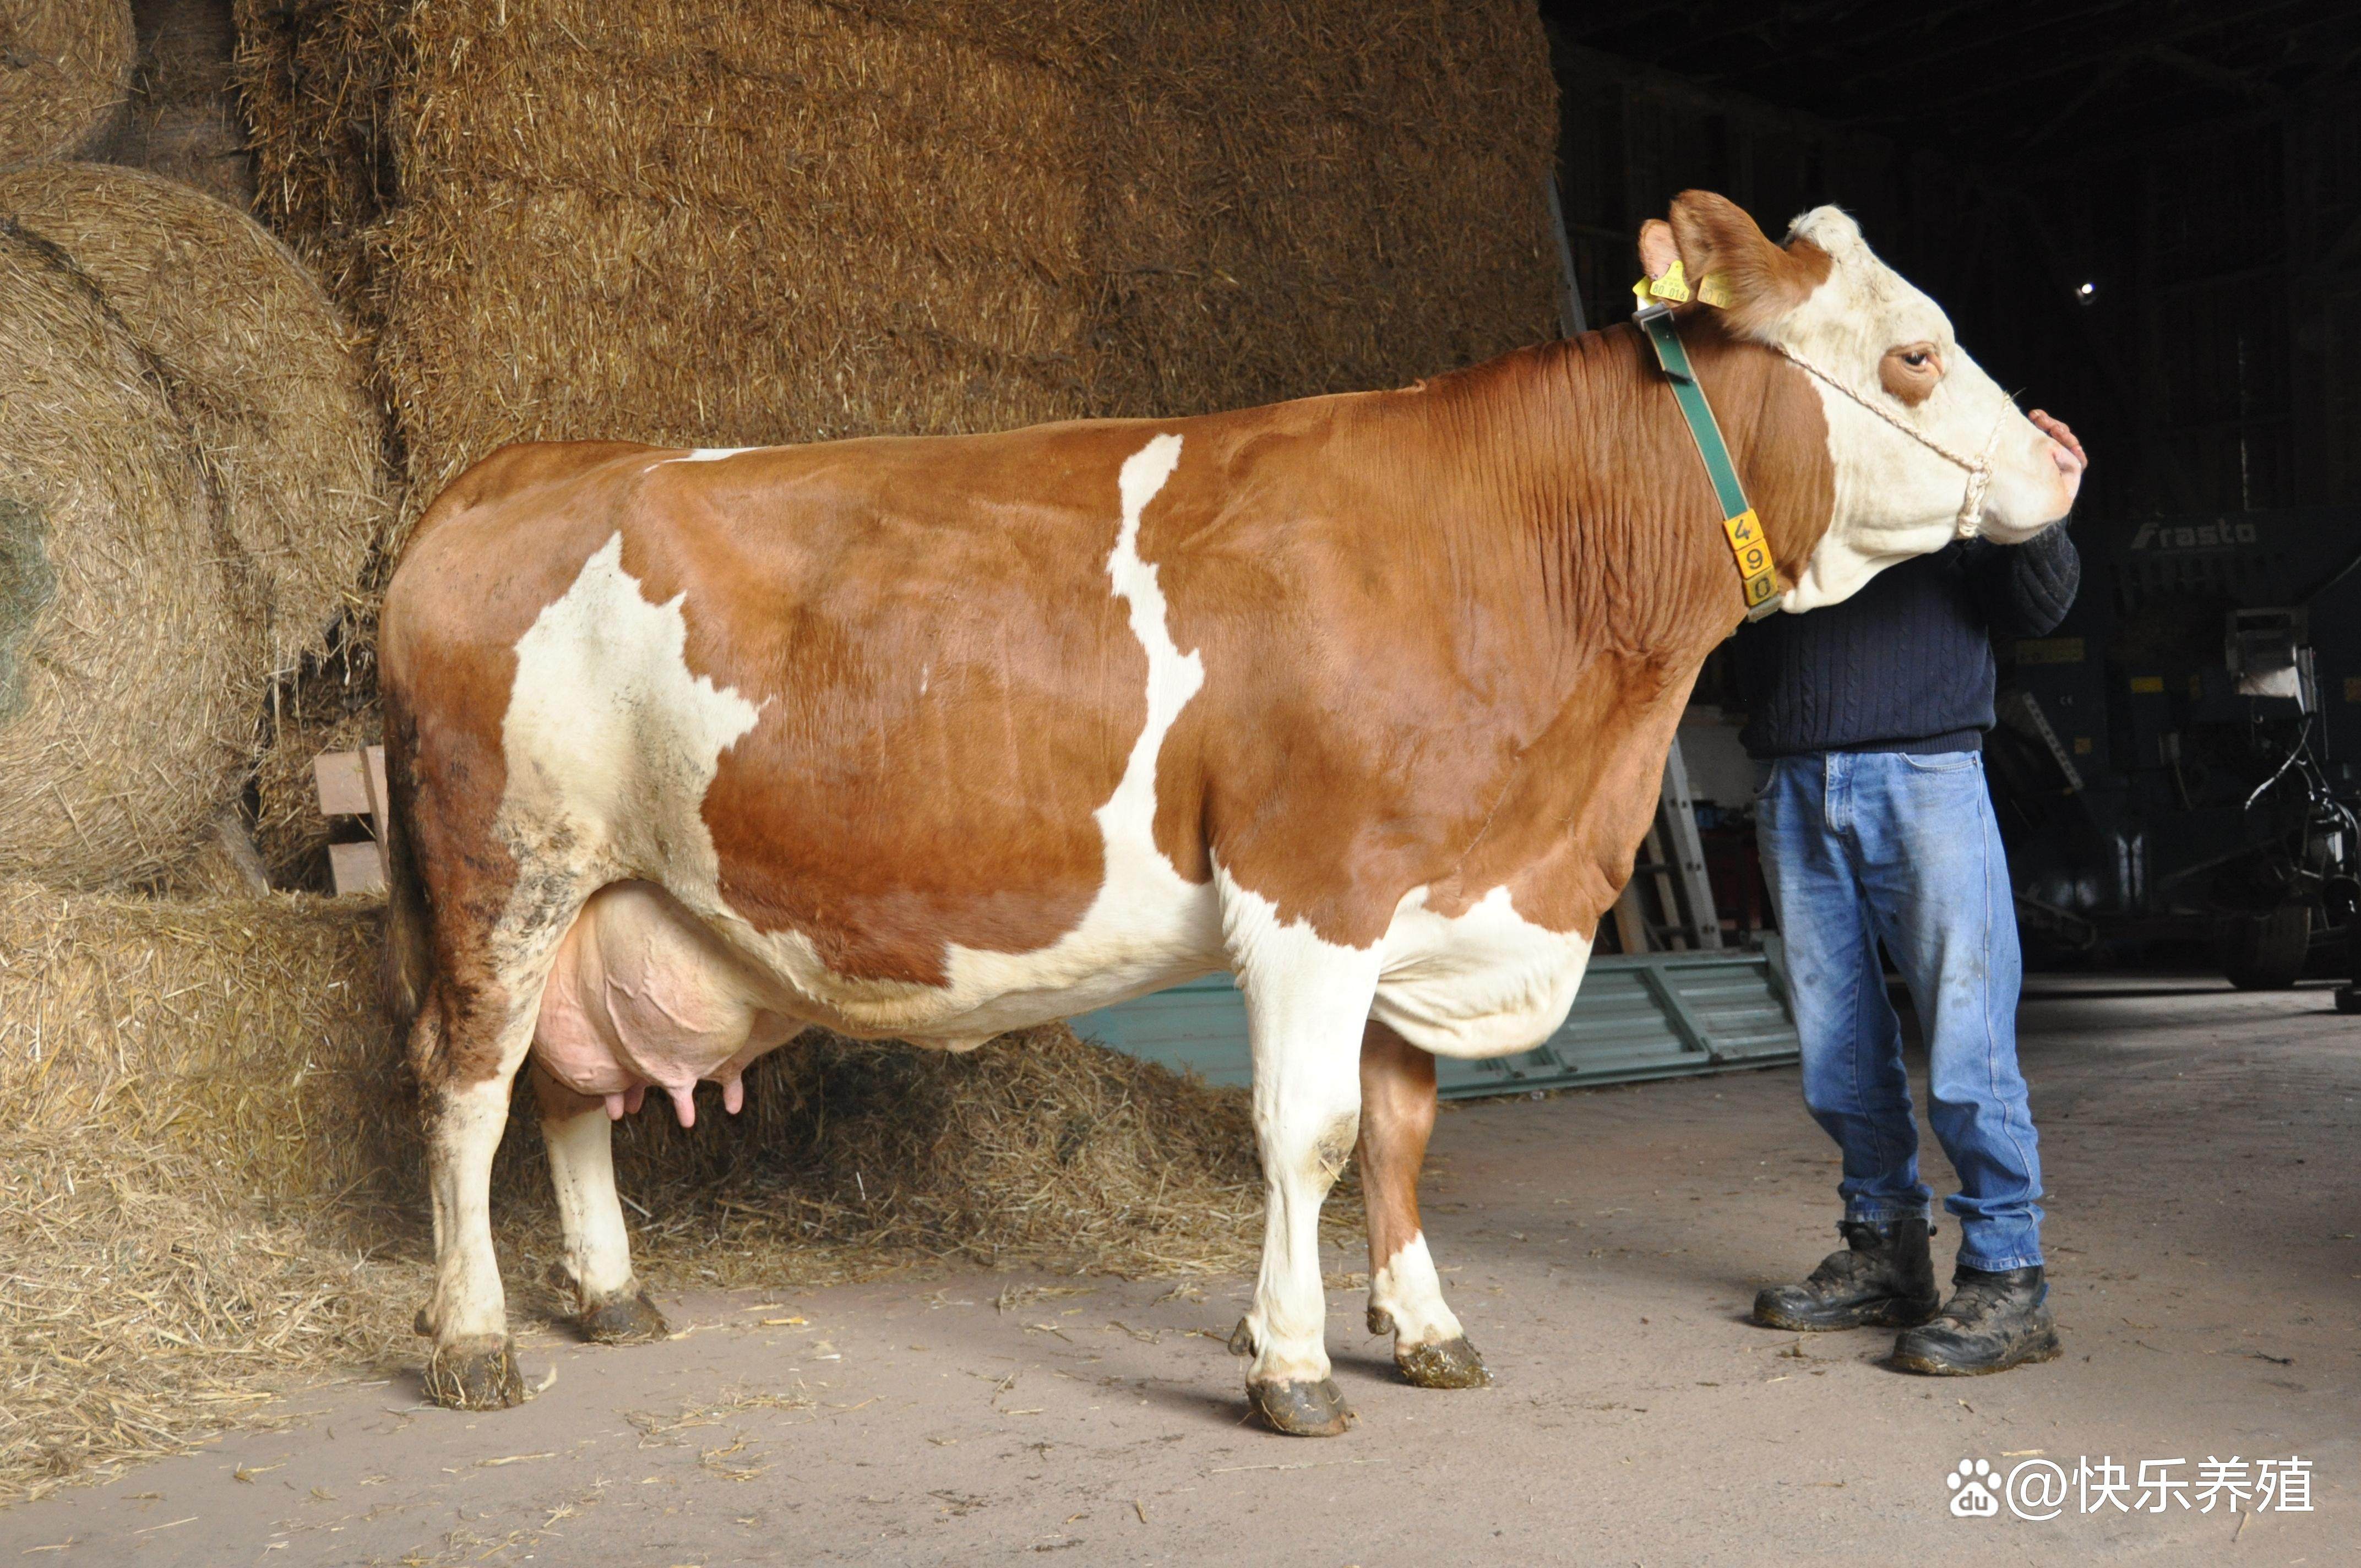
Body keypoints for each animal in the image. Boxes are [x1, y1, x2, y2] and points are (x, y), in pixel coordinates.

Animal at [378, 192, 2077, 1435]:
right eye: (1915, 355)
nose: (2064, 454)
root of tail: (512, 466)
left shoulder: (1421, 894)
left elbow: (1399, 1128)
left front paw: (1426, 1326)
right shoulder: (1312, 891)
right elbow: (1307, 1131)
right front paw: (1294, 1362)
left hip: (606, 890)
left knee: (565, 1089)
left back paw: (609, 1294)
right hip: (502, 869)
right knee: (466, 1091)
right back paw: (472, 1339)